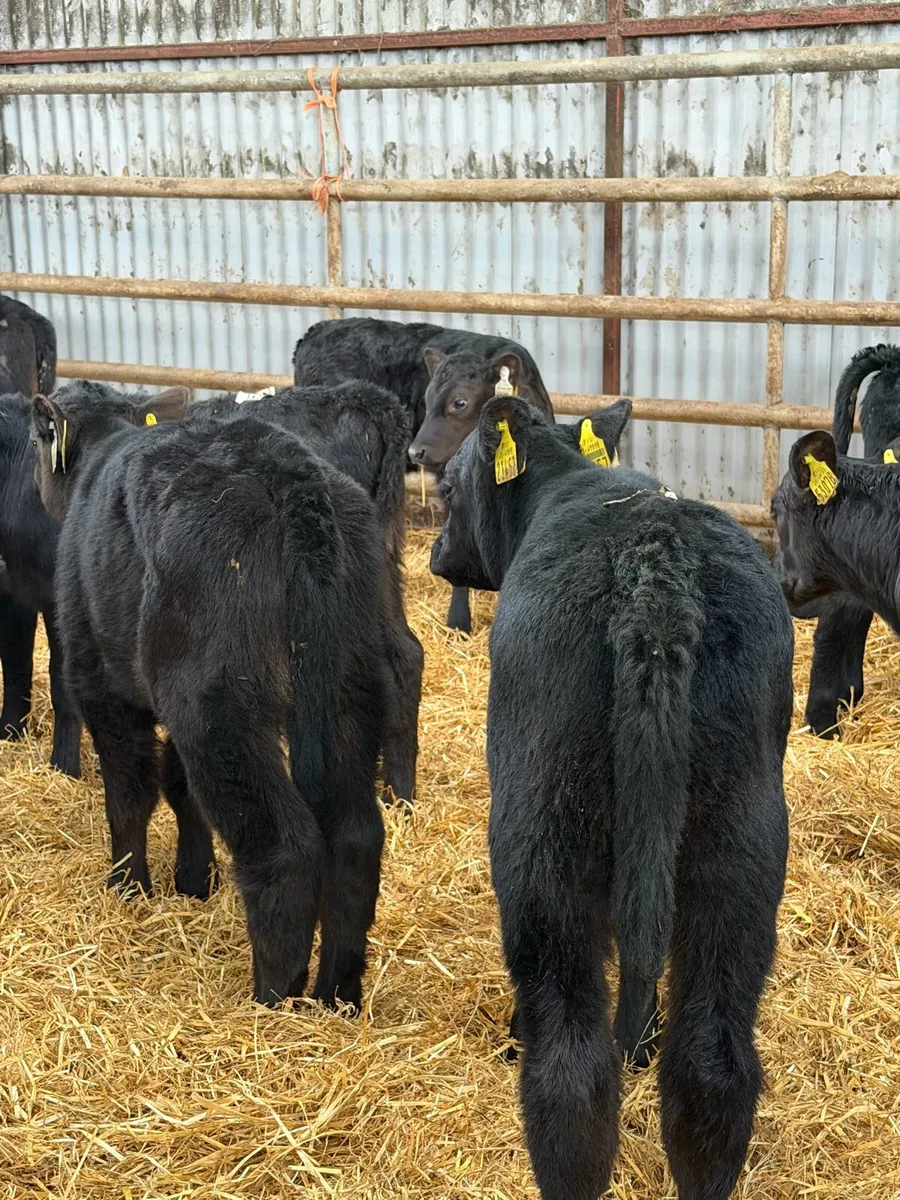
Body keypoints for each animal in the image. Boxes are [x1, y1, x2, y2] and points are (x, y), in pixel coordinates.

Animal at [31, 381, 386, 1009]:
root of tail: (288, 472)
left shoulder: (100, 682)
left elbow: (131, 790)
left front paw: (128, 885)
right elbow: (180, 787)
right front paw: (194, 882)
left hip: (218, 706)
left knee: (284, 847)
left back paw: (273, 1000)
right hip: (350, 690)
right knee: (356, 836)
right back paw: (336, 997)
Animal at [430, 397, 791, 1200]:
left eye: (447, 489)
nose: (435, 553)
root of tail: (653, 568)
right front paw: (640, 1039)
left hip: (543, 834)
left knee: (569, 1071)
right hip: (740, 841)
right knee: (713, 1064)